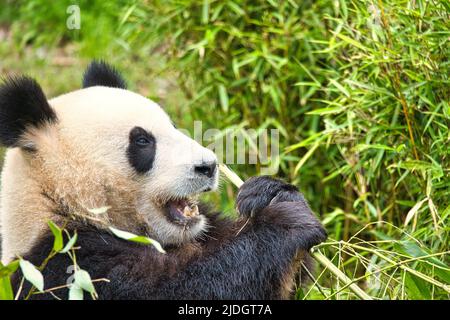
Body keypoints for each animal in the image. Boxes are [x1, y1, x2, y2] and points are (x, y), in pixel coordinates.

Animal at [0, 60, 326, 300]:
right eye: (143, 141)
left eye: (173, 126)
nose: (208, 166)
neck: (58, 202)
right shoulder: (68, 264)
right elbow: (189, 288)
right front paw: (285, 221)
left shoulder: (205, 229)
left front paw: (267, 194)